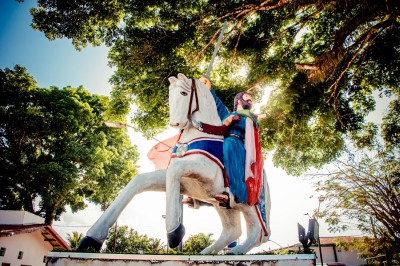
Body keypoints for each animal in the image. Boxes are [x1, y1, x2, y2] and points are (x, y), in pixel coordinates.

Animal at [77, 74, 272, 255]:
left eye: (184, 93)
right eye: (170, 95)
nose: (175, 123)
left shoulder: (207, 173)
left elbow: (174, 170)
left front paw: (174, 233)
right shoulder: (188, 183)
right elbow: (140, 181)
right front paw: (91, 239)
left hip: (250, 205)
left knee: (257, 231)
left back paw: (236, 250)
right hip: (222, 204)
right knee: (233, 230)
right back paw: (206, 252)